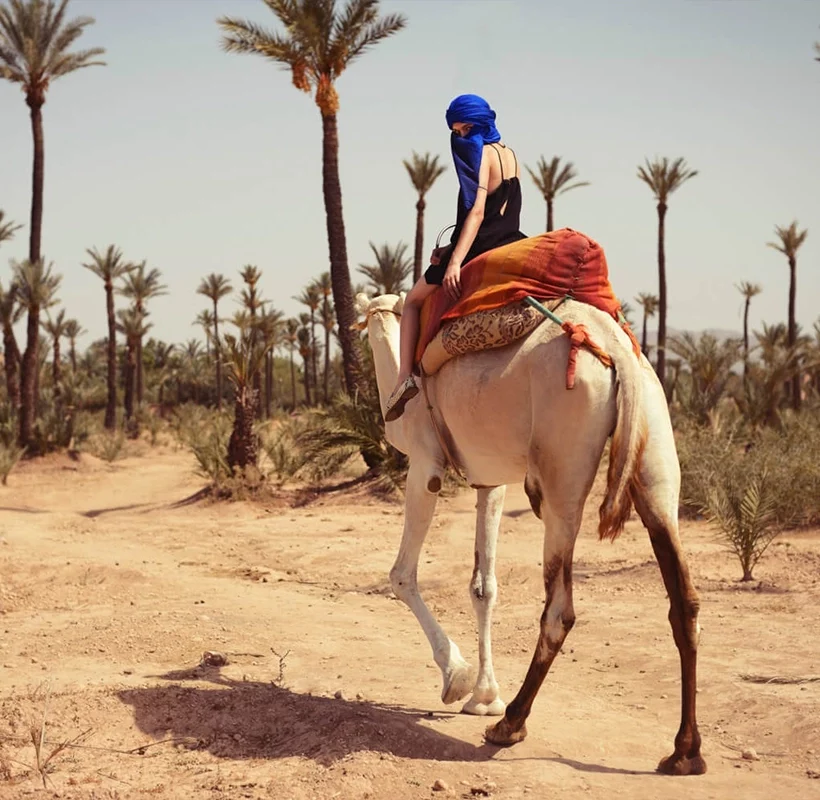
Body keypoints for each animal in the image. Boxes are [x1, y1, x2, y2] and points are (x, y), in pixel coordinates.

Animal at [355, 291, 705, 775]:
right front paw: (483, 695)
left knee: (559, 610)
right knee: (683, 600)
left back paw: (510, 725)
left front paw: (458, 678)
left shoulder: (426, 467)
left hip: (561, 470)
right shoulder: (489, 478)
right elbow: (483, 586)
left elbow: (402, 575)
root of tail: (617, 352)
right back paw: (684, 752)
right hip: (655, 451)